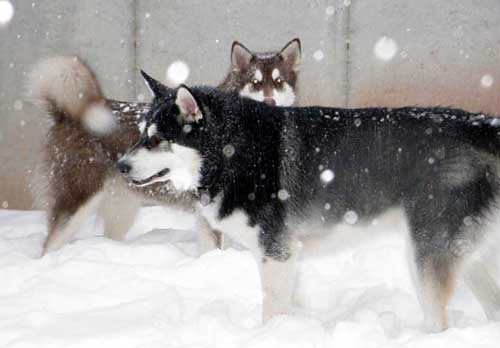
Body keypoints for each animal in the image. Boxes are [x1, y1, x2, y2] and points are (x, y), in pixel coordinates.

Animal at [29, 39, 302, 254]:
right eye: (255, 82)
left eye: (279, 81)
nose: (270, 101)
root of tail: (66, 115)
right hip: (77, 200)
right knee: (49, 245)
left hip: (122, 207)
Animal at [119, 75, 500, 330]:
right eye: (141, 135)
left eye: (157, 140)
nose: (120, 165)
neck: (232, 152)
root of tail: (476, 124)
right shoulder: (289, 254)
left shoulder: (275, 252)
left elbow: (272, 308)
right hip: (471, 255)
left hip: (426, 253)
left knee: (439, 320)